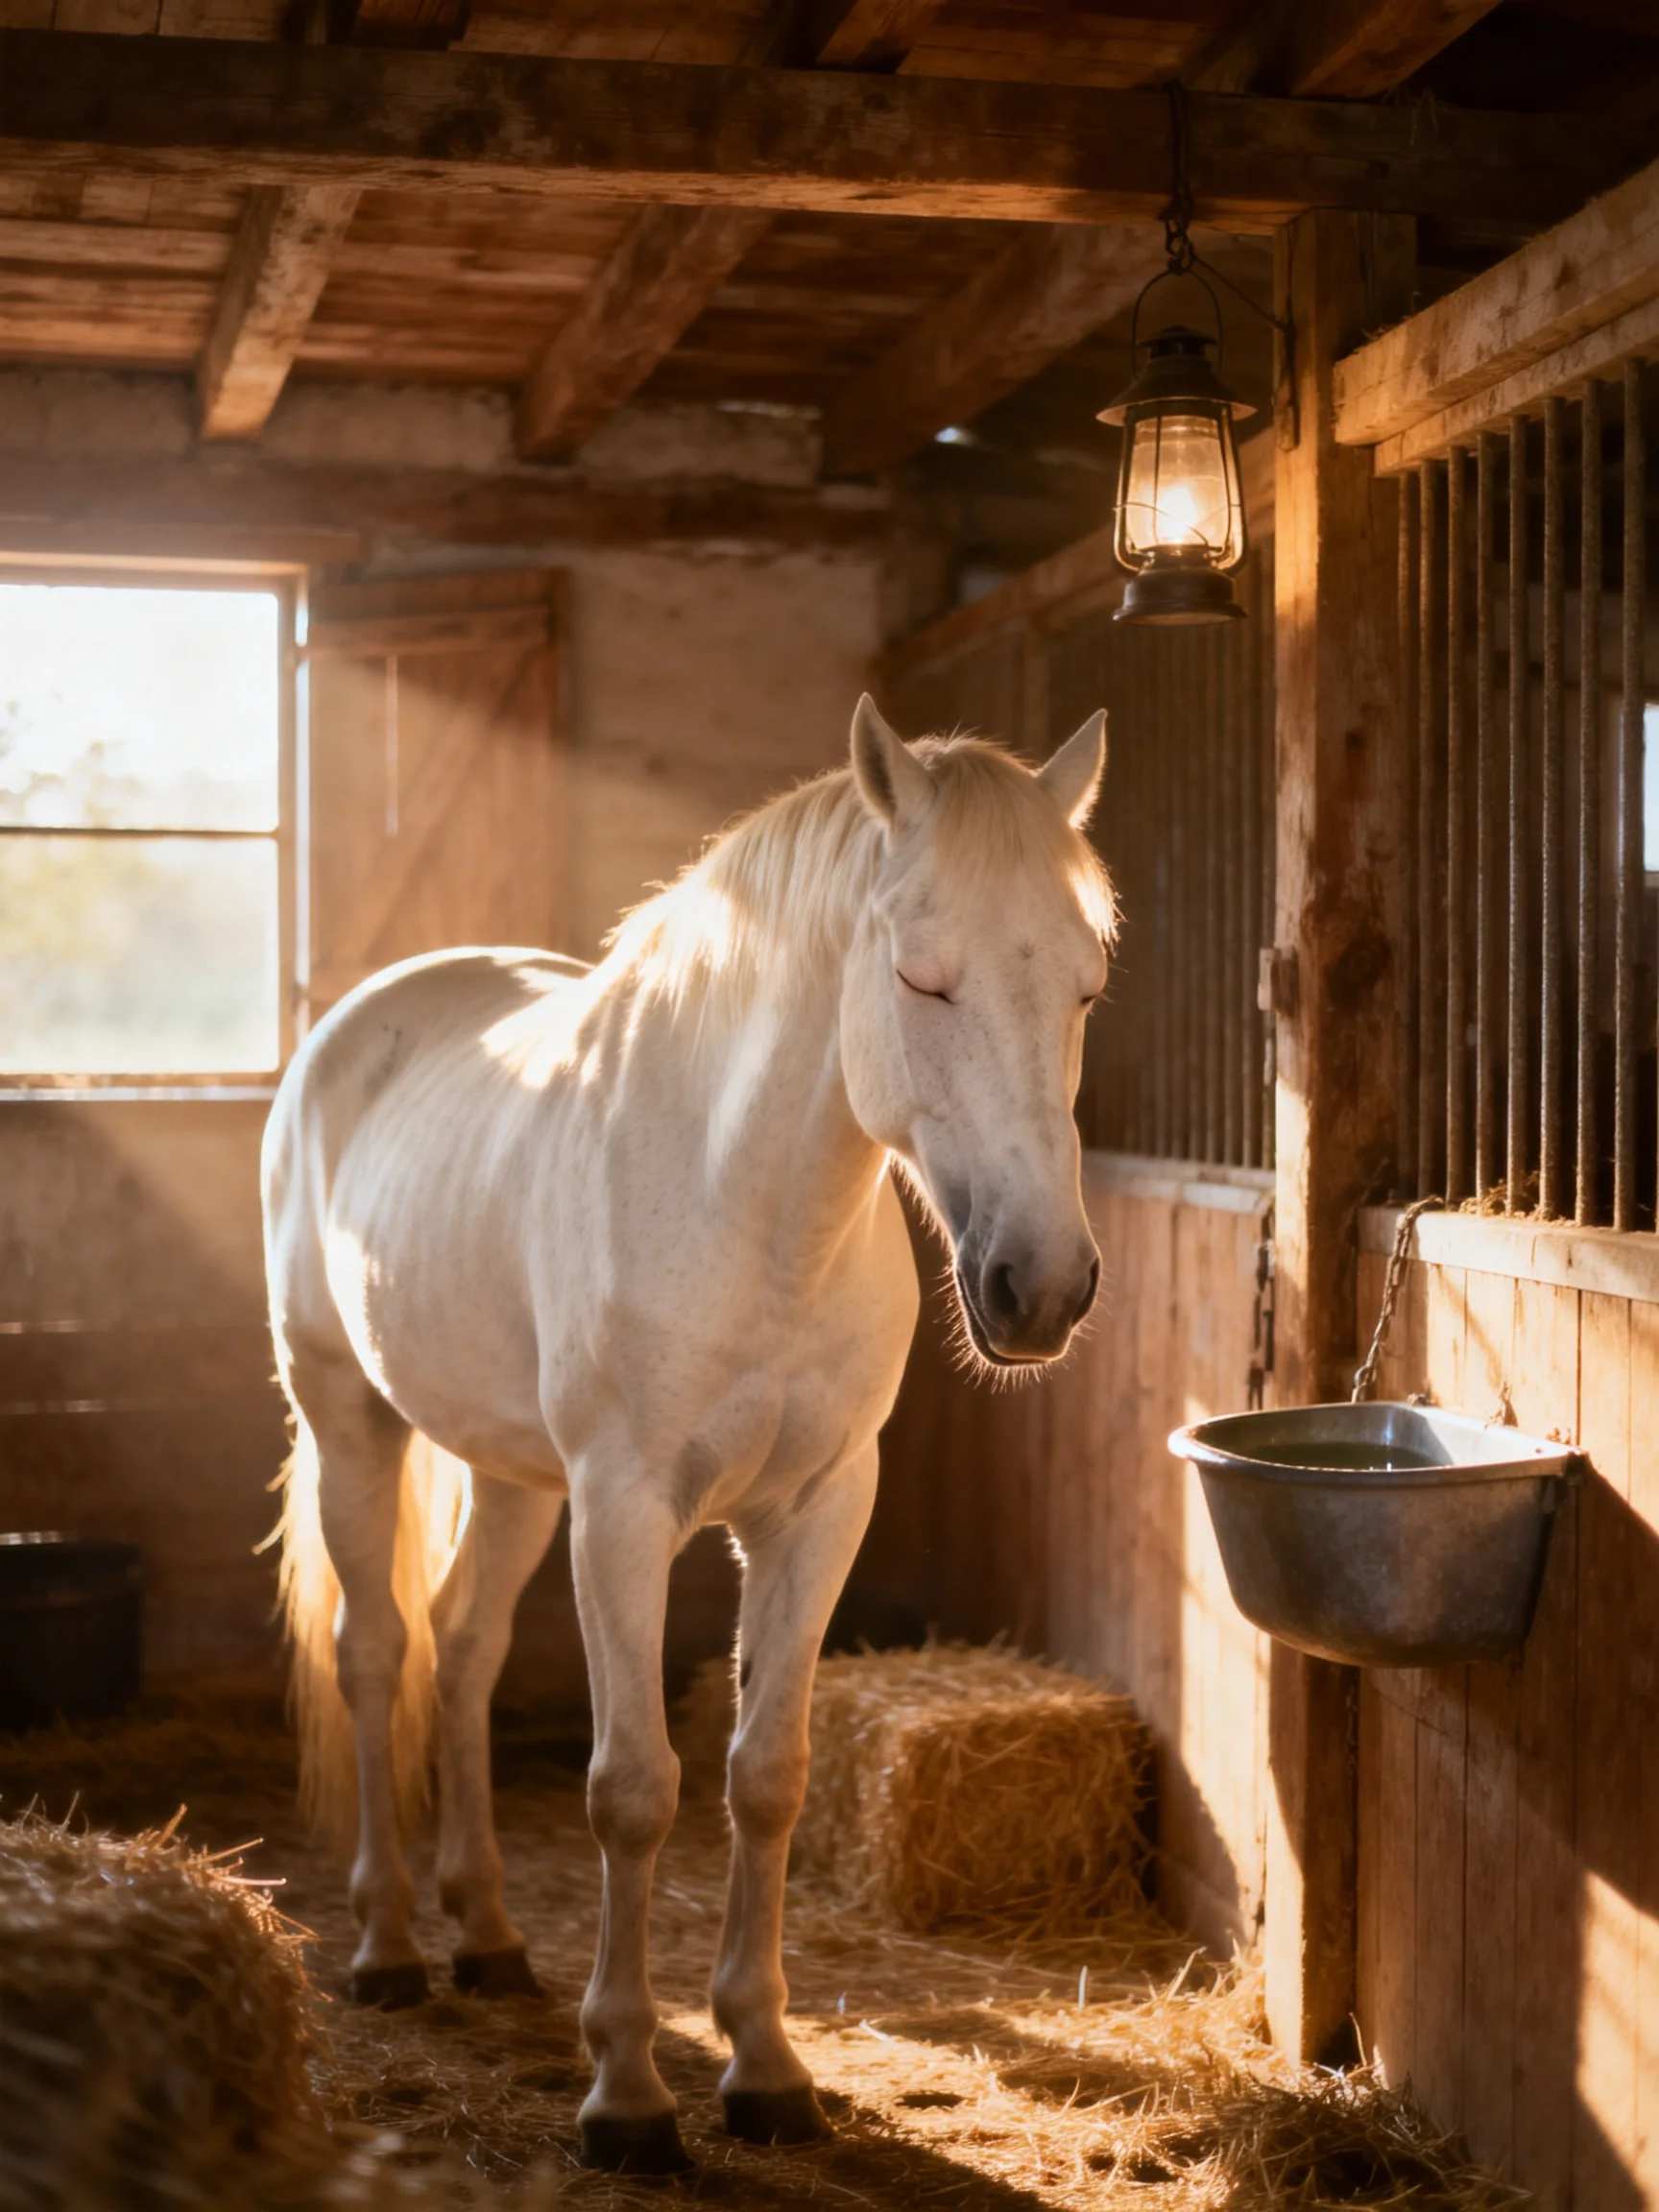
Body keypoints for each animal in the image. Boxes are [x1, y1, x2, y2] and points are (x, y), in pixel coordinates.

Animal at [263, 694, 1114, 2173]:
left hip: (507, 1474)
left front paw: (765, 2068)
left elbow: (765, 1777)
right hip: (349, 1418)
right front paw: (627, 2093)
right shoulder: (624, 1510)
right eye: (922, 979)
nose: (1043, 1286)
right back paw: (387, 1948)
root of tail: (362, 1017)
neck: (753, 1213)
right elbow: (633, 1788)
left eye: (1083, 987)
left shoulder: (818, 1511)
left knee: (465, 1648)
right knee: (378, 1654)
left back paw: (487, 1935)